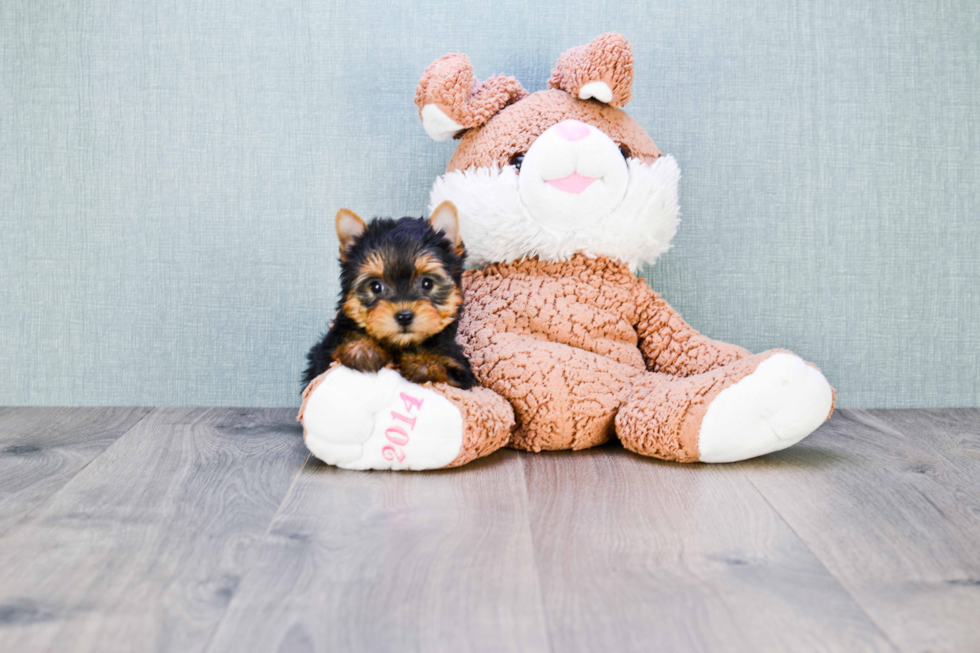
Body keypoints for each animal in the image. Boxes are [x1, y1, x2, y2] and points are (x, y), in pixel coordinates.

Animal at [302, 201, 478, 390]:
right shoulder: (323, 355)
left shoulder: (459, 370)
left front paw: (421, 361)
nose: (404, 316)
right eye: (376, 287)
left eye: (427, 283)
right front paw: (362, 348)